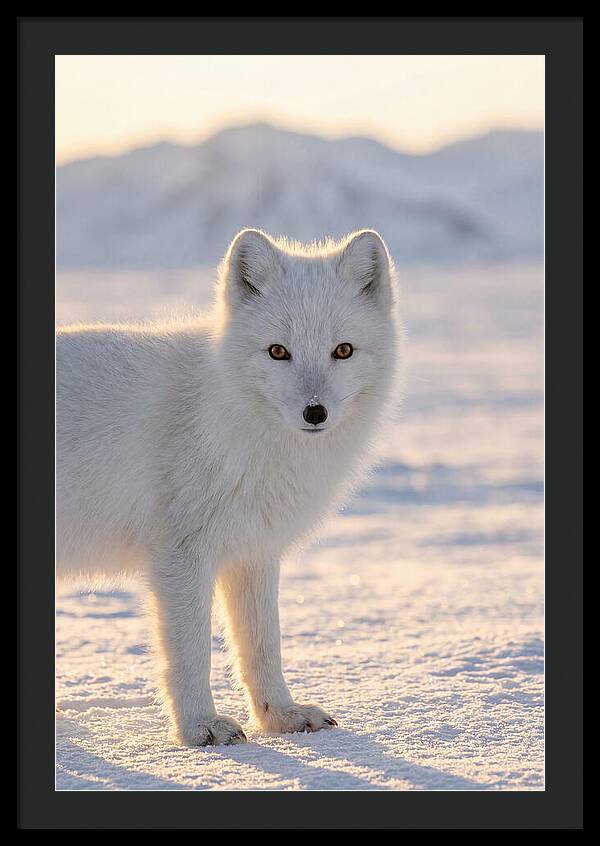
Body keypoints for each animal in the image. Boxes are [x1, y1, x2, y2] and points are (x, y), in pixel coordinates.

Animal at [56, 228, 402, 746]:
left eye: (343, 350)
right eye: (278, 351)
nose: (315, 412)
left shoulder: (253, 550)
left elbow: (262, 644)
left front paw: (281, 716)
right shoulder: (180, 554)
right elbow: (191, 651)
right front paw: (199, 728)